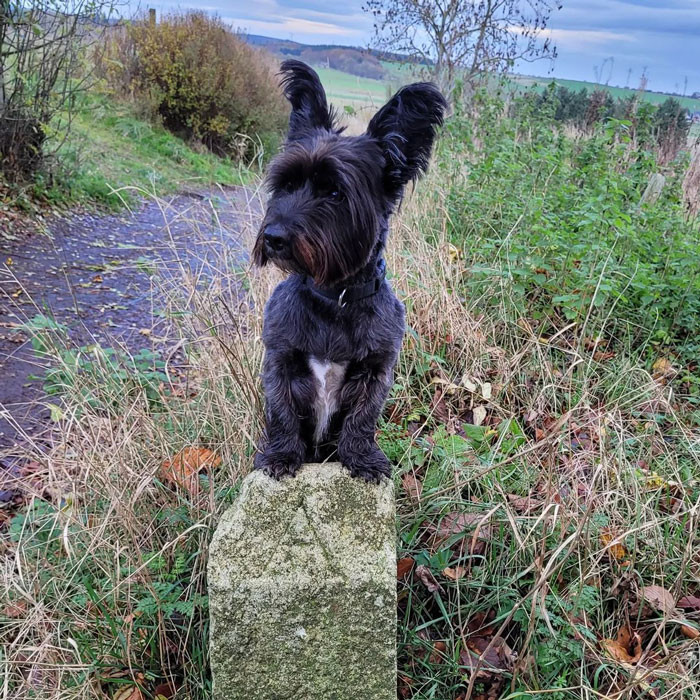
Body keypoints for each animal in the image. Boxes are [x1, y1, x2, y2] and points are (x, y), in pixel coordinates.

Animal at [254, 61, 446, 482]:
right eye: (285, 184)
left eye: (335, 193)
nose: (273, 237)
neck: (335, 299)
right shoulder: (280, 361)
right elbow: (282, 413)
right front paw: (281, 455)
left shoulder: (376, 369)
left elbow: (362, 418)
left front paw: (362, 458)